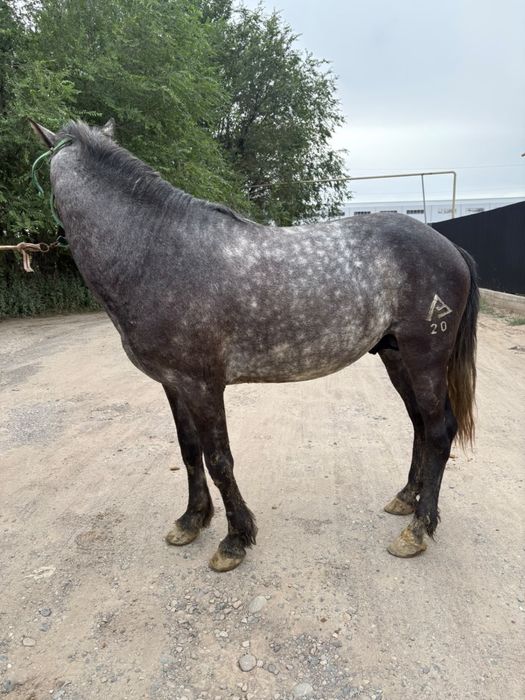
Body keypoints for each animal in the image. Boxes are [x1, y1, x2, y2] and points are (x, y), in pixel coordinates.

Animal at [30, 119, 478, 572]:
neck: (156, 254)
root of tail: (448, 246)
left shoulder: (203, 386)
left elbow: (219, 460)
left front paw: (234, 540)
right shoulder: (173, 384)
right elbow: (189, 451)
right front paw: (191, 521)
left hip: (425, 358)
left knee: (439, 430)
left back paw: (417, 530)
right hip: (395, 355)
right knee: (419, 425)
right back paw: (406, 500)